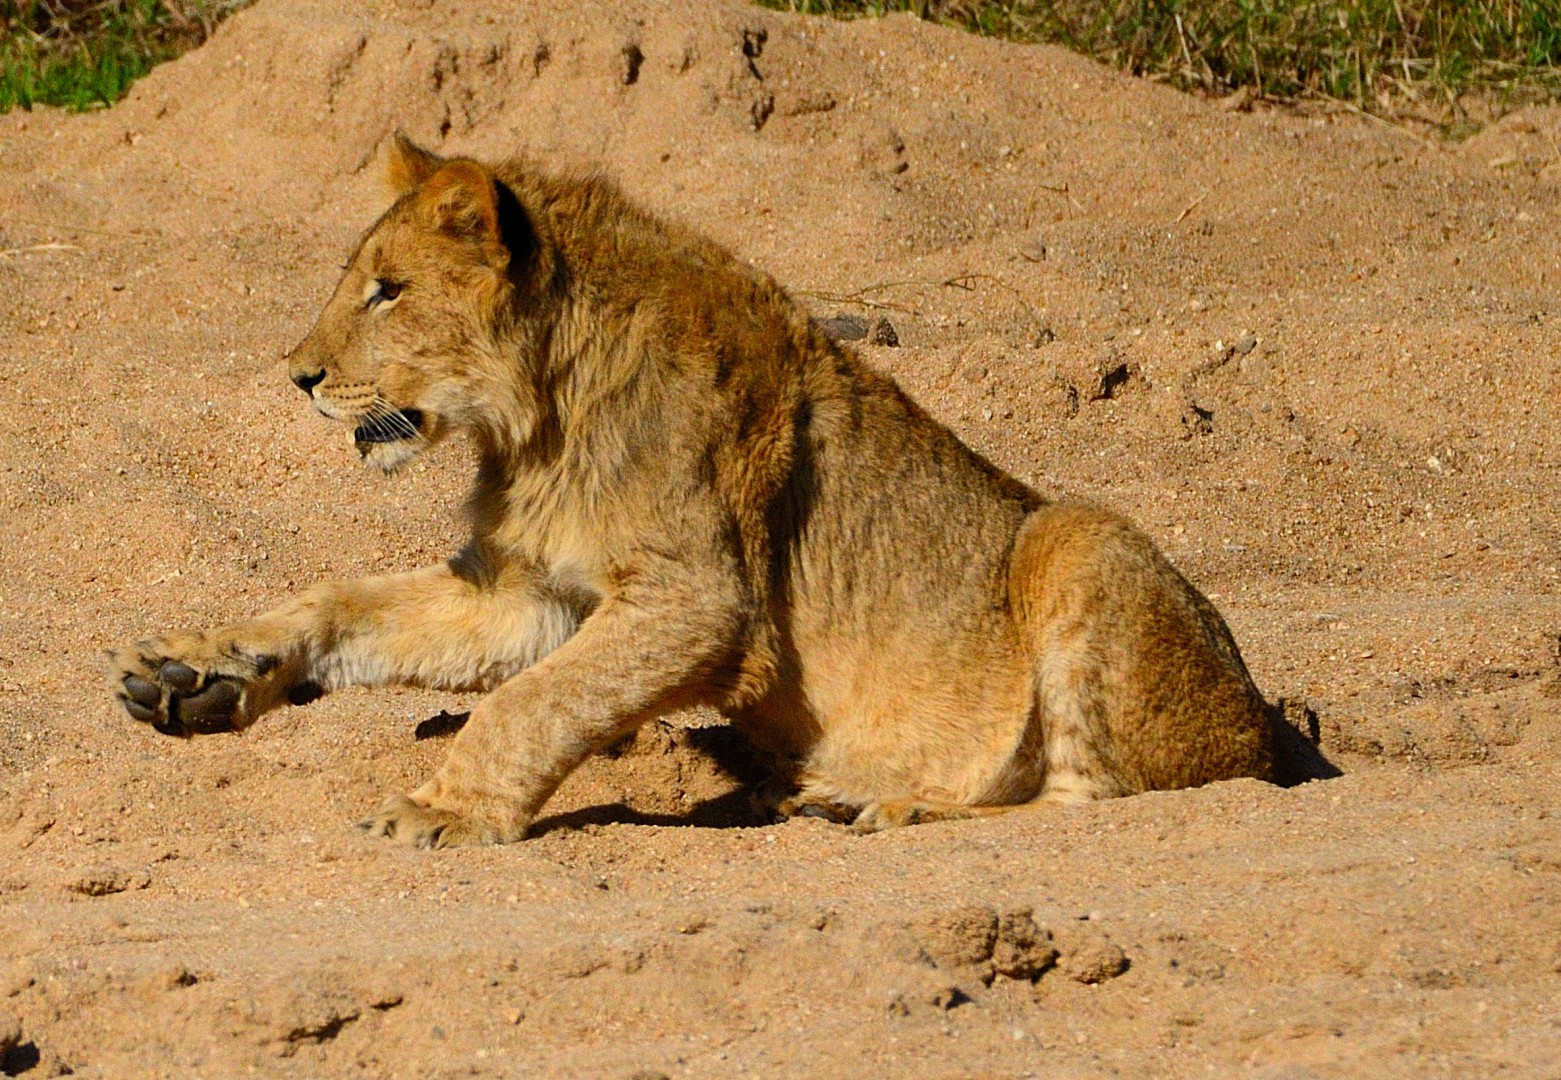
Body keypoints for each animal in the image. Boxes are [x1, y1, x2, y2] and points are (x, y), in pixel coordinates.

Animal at [109, 133, 1284, 847]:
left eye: (387, 292)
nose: (297, 377)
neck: (540, 420)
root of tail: (1260, 732)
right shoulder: (530, 593)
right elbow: (345, 603)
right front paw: (201, 669)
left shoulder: (703, 601)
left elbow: (532, 706)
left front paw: (442, 811)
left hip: (1078, 537)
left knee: (1092, 804)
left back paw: (892, 806)